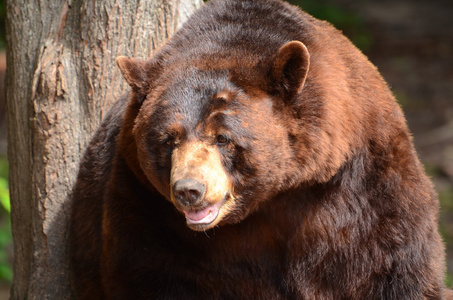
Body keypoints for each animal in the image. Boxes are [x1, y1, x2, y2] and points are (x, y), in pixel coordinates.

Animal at [69, 0, 450, 298]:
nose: (189, 190)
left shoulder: (364, 186)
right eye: (168, 139)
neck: (272, 201)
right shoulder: (146, 208)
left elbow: (395, 267)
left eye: (223, 137)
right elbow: (153, 275)